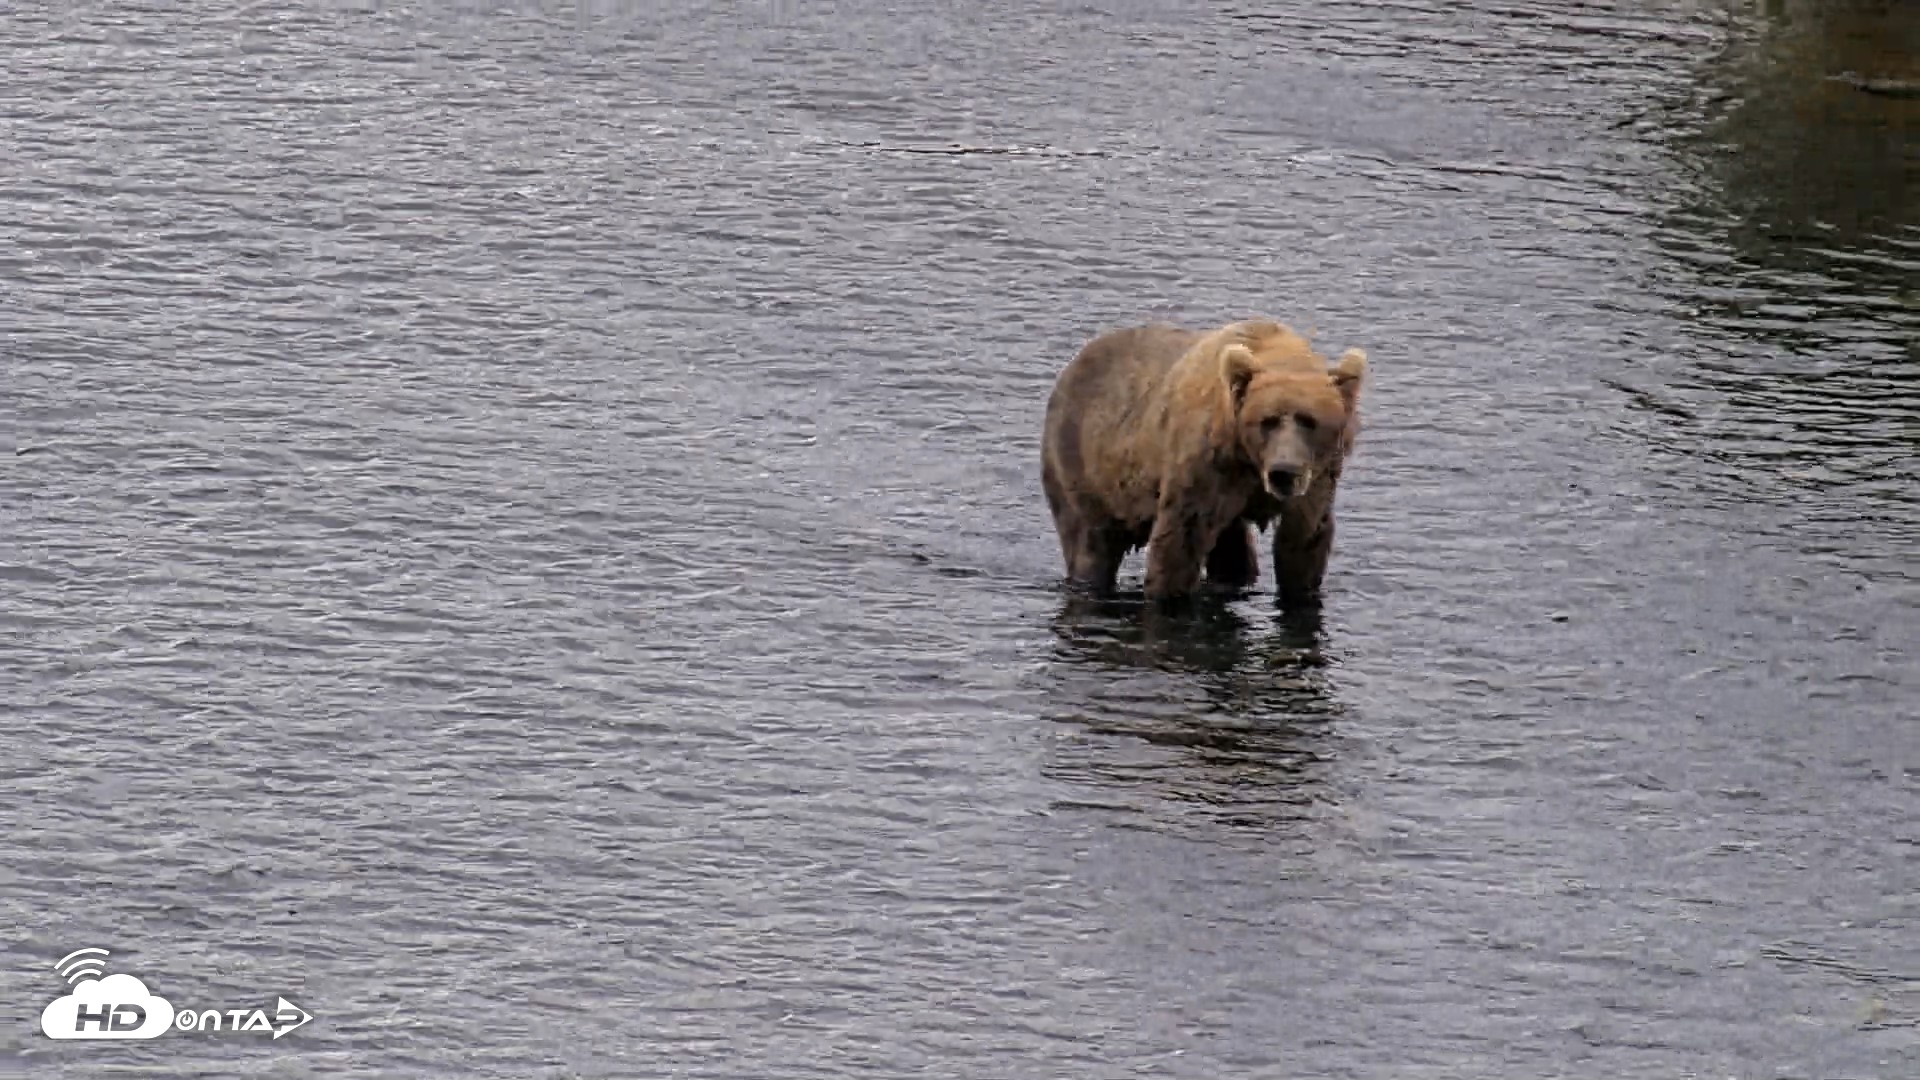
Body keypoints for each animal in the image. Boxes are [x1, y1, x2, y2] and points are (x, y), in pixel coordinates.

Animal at [1040, 318, 1367, 606]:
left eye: (1309, 421)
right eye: (1268, 421)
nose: (1283, 472)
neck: (1248, 456)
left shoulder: (1317, 476)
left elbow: (1302, 540)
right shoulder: (1206, 467)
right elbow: (1180, 541)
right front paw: (1167, 594)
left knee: (1232, 550)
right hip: (1084, 463)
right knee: (1090, 545)